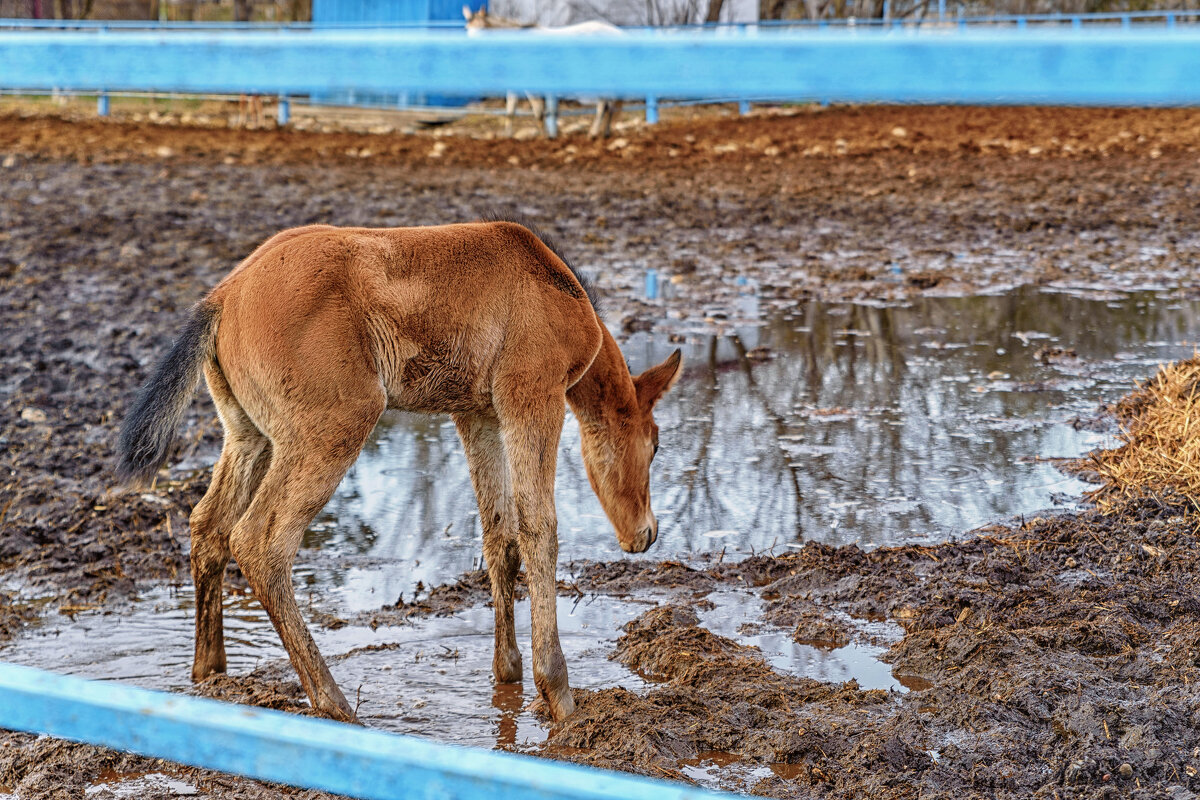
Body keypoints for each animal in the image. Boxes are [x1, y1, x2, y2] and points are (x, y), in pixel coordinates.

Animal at [121, 220, 686, 724]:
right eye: (656, 445)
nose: (647, 533)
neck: (553, 282)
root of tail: (225, 295)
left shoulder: (477, 413)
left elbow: (499, 537)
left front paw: (508, 675)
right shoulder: (531, 397)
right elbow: (538, 530)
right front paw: (559, 694)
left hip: (250, 438)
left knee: (208, 527)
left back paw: (210, 673)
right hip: (334, 429)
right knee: (260, 542)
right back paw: (334, 702)